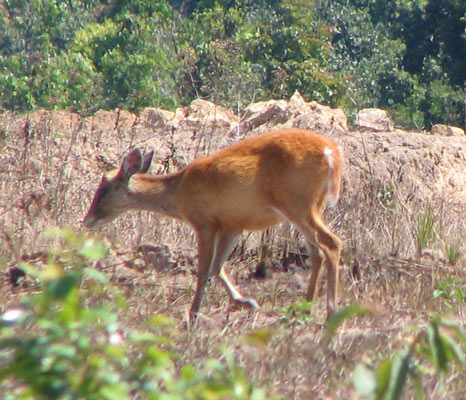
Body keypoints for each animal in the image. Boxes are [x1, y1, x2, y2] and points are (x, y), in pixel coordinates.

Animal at [83, 130, 344, 324]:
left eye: (102, 189)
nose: (87, 220)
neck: (179, 193)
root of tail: (331, 152)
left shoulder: (204, 223)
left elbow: (204, 270)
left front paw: (193, 315)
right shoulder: (232, 225)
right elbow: (218, 267)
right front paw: (246, 302)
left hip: (296, 202)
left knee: (331, 243)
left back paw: (330, 313)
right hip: (311, 206)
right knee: (317, 251)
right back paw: (304, 307)